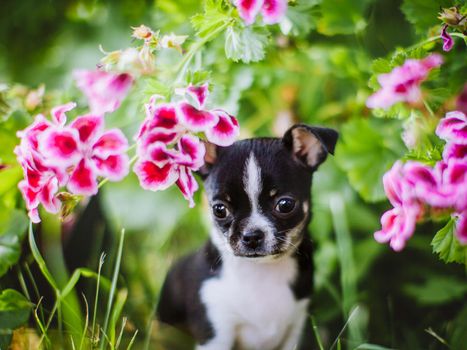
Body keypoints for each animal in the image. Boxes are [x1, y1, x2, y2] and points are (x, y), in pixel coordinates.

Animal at [159, 124, 338, 348]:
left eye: (285, 205)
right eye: (219, 210)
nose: (252, 235)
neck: (260, 272)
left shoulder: (295, 328)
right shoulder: (216, 333)